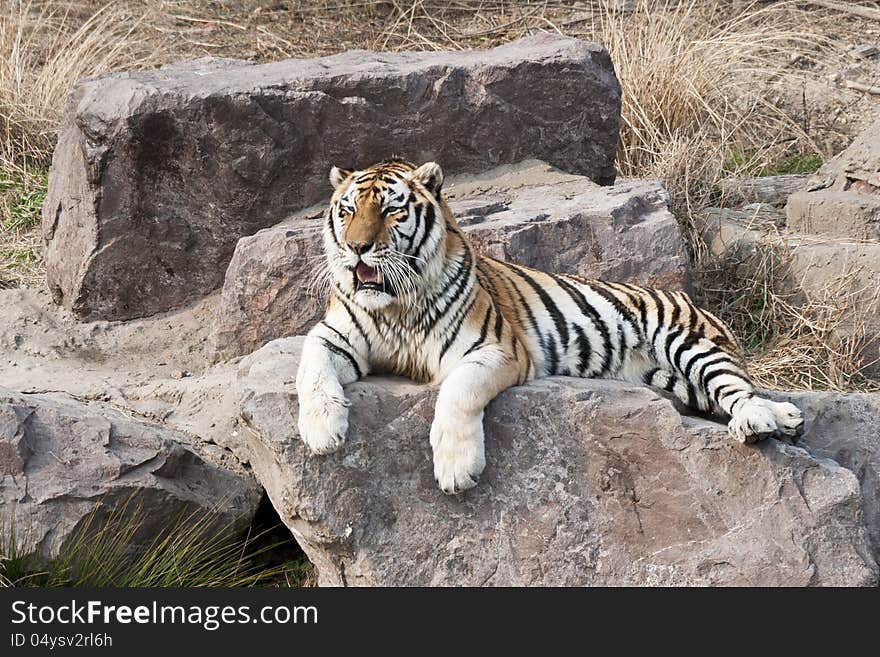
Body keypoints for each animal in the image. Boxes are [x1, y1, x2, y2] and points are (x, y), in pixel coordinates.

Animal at [296, 158, 804, 492]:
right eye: (347, 211)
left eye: (391, 210)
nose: (357, 248)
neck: (396, 306)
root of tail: (686, 296)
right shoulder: (335, 336)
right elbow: (310, 367)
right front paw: (322, 433)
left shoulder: (494, 349)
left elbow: (458, 393)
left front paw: (457, 468)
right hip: (669, 381)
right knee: (726, 395)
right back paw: (785, 418)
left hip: (686, 339)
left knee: (738, 388)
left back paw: (761, 421)